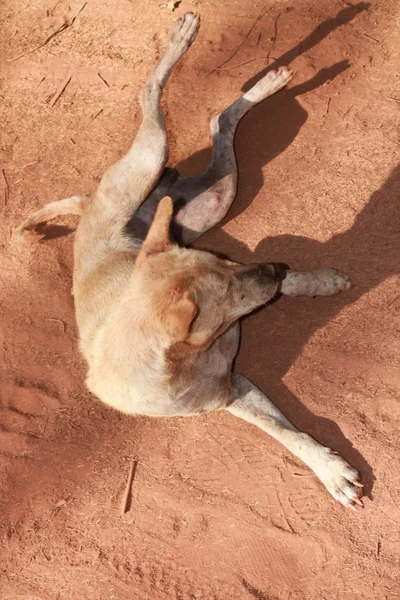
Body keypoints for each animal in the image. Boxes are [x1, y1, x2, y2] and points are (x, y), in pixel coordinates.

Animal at [18, 11, 362, 508]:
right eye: (232, 293)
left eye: (229, 266)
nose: (276, 267)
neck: (189, 356)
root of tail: (89, 210)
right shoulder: (232, 391)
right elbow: (286, 434)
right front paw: (332, 472)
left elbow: (293, 289)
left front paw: (320, 280)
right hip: (187, 182)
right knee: (177, 107)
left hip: (199, 189)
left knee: (207, 116)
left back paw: (231, 64)